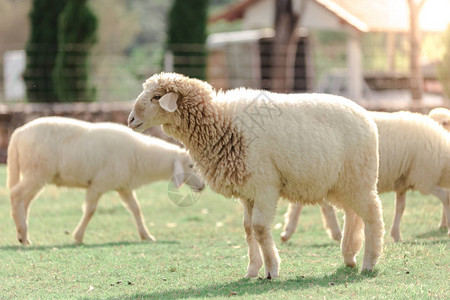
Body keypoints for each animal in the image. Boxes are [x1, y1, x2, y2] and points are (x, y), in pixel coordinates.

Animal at [6, 116, 204, 245]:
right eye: (191, 165)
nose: (202, 186)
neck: (140, 156)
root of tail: (17, 134)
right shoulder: (98, 184)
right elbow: (90, 210)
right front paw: (78, 237)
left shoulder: (123, 187)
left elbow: (135, 209)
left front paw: (146, 236)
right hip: (36, 172)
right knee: (16, 195)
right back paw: (23, 234)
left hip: (36, 175)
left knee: (25, 202)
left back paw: (23, 234)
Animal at [126, 71, 384, 278]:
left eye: (156, 97)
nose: (130, 120)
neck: (221, 123)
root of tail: (367, 117)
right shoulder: (247, 191)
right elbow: (248, 229)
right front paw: (252, 270)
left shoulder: (264, 186)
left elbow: (259, 228)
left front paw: (272, 270)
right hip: (340, 184)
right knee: (353, 214)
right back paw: (349, 256)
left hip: (359, 177)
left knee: (372, 214)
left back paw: (368, 263)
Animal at [282, 110, 450, 244]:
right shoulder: (423, 179)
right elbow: (445, 197)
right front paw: (447, 227)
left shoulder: (403, 181)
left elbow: (400, 208)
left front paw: (396, 234)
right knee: (314, 205)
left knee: (306, 203)